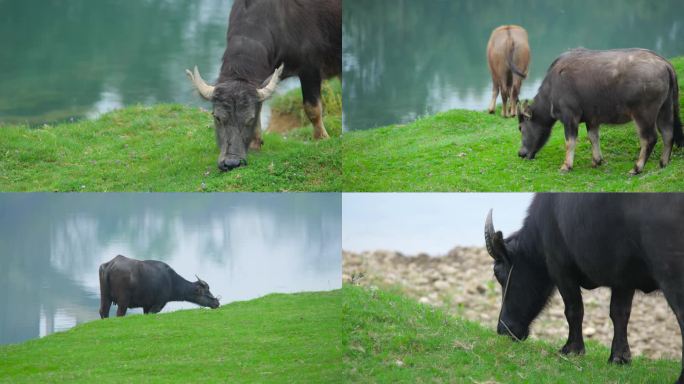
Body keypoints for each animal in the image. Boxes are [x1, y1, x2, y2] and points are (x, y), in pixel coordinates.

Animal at [186, 0, 340, 171]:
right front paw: (255, 143)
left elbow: (312, 108)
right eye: (217, 118)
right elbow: (260, 106)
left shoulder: (310, 68)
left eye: (249, 119)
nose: (231, 163)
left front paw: (322, 138)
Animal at [484, 195, 684, 384]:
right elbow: (620, 313)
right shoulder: (623, 278)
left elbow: (574, 310)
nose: (503, 329)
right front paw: (619, 358)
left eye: (498, 273)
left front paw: (572, 349)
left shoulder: (560, 269)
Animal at [516, 49, 680, 174]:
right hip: (665, 109)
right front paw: (596, 160)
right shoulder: (592, 119)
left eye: (521, 128)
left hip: (644, 115)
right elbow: (593, 137)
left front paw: (566, 166)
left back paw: (636, 168)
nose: (521, 153)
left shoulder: (570, 117)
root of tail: (664, 63)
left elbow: (570, 142)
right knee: (668, 134)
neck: (552, 88)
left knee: (649, 139)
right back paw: (663, 163)